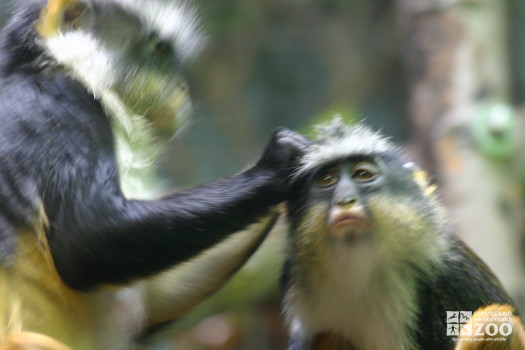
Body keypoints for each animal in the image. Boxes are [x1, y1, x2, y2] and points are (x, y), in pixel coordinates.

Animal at [0, 0, 312, 350]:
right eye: (160, 50)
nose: (181, 87)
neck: (46, 64)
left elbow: (159, 300)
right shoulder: (54, 103)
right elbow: (85, 237)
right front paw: (276, 169)